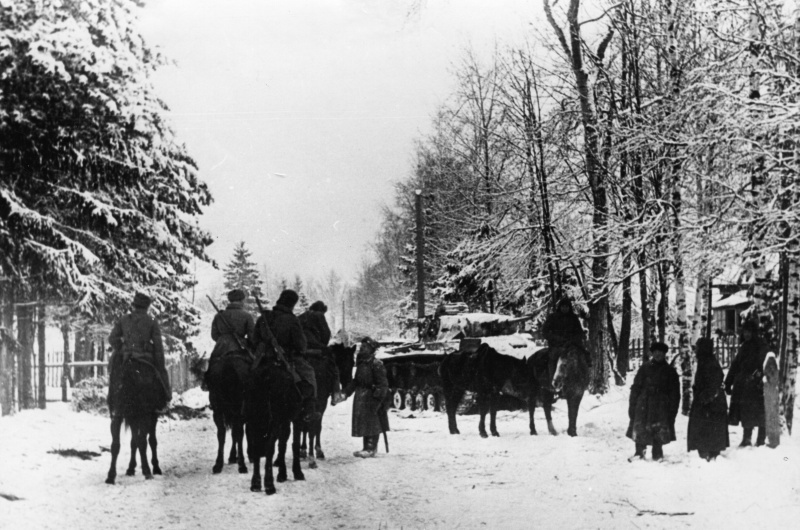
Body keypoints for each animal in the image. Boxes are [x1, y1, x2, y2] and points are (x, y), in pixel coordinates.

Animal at [105, 354, 165, 482]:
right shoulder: (145, 417)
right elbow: (144, 441)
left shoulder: (135, 418)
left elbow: (137, 442)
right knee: (142, 441)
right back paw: (143, 469)